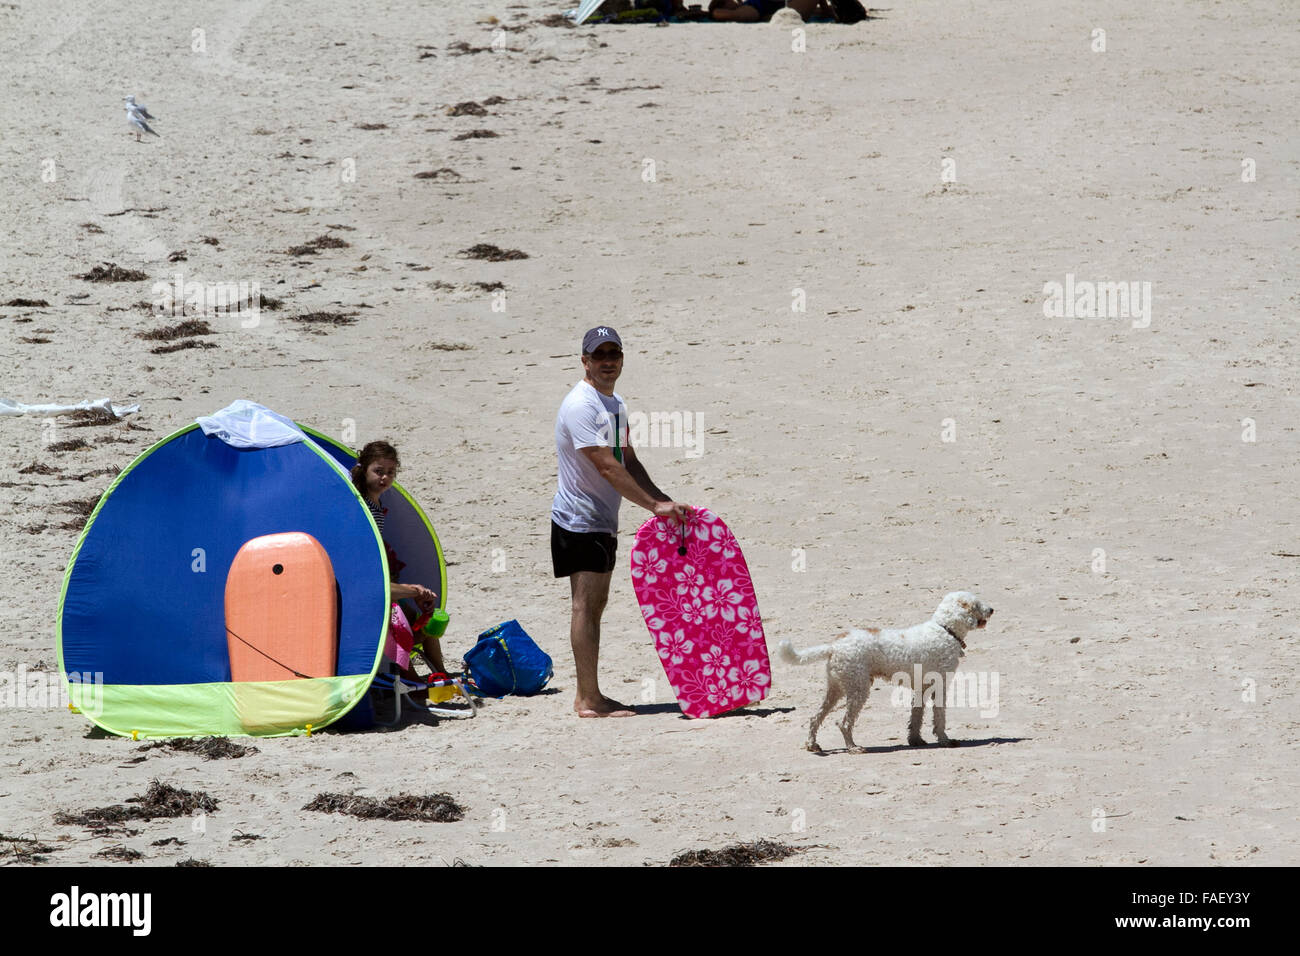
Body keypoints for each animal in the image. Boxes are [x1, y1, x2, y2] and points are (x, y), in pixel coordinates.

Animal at [780, 590, 993, 754]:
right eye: (976, 604)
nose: (992, 609)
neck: (945, 630)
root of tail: (834, 646)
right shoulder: (939, 686)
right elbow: (939, 718)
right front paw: (945, 740)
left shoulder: (921, 689)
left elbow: (916, 717)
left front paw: (915, 740)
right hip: (858, 689)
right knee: (843, 723)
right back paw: (853, 747)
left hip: (837, 689)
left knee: (815, 717)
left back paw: (812, 745)